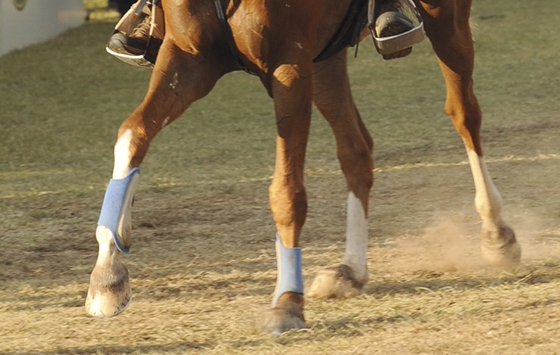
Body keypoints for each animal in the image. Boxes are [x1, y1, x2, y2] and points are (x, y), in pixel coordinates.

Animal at [86, 0, 520, 336]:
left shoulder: (289, 66)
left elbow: (287, 192)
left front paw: (287, 304)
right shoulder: (188, 59)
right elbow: (132, 136)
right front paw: (108, 277)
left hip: (444, 20)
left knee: (464, 114)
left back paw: (497, 233)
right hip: (326, 59)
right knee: (356, 150)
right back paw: (352, 269)